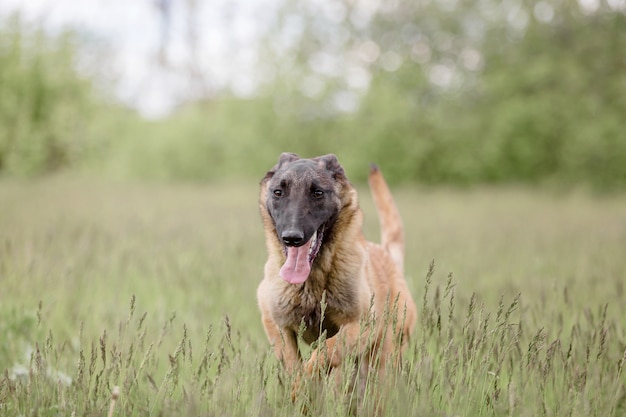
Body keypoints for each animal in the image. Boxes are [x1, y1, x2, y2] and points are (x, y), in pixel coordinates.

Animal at [256, 152, 416, 386]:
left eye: (317, 193)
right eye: (278, 192)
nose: (292, 237)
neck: (311, 283)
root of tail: (388, 256)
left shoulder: (362, 325)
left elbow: (327, 349)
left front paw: (307, 382)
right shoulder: (276, 324)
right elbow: (293, 363)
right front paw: (301, 387)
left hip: (381, 362)